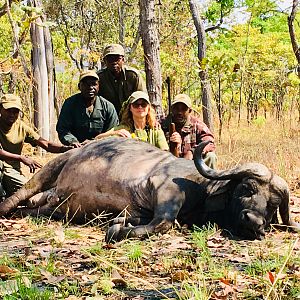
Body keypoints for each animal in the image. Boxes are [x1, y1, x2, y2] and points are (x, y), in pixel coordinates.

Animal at [0, 137, 298, 241]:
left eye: (272, 205)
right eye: (246, 188)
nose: (253, 221)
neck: (203, 190)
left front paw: (121, 224)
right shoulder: (166, 191)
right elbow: (164, 222)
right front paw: (119, 230)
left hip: (52, 206)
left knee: (35, 208)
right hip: (48, 170)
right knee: (19, 196)